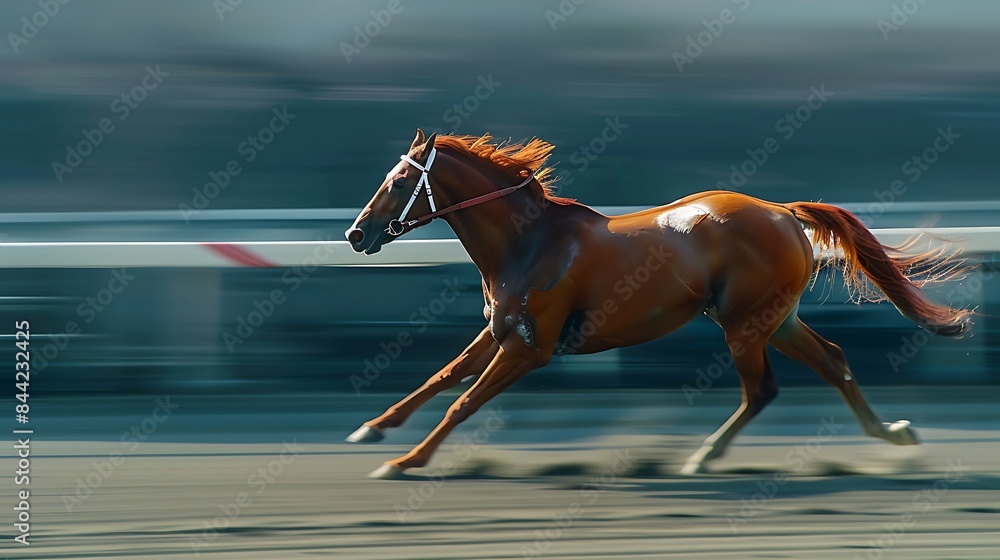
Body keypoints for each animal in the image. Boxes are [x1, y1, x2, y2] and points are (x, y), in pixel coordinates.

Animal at [344, 128, 972, 479]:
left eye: (398, 183)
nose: (355, 234)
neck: (529, 242)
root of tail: (783, 212)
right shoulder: (502, 332)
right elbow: (442, 376)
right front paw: (372, 429)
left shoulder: (530, 348)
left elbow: (464, 402)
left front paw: (404, 462)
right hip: (776, 317)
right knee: (834, 360)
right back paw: (892, 432)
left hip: (745, 323)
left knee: (761, 390)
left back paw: (703, 456)